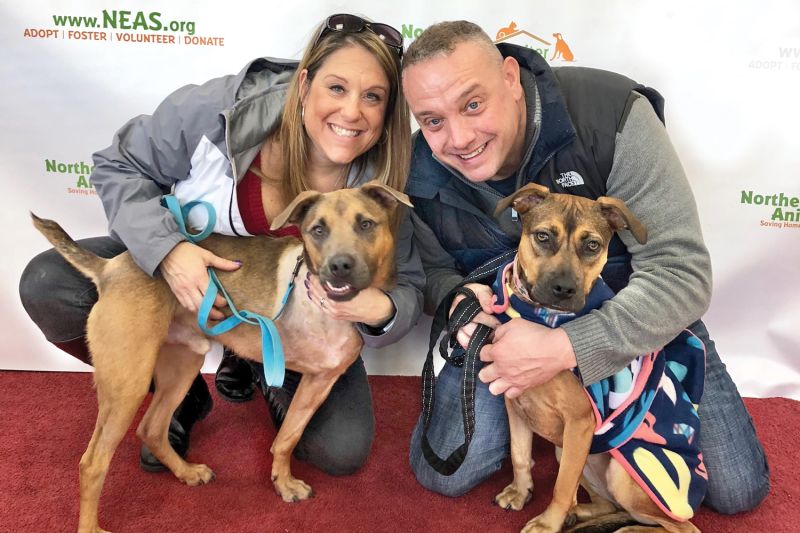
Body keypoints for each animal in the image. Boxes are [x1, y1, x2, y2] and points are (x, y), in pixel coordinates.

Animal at [29, 181, 412, 528]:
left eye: (366, 224)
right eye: (318, 230)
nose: (339, 265)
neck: (323, 306)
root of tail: (111, 267)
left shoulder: (319, 383)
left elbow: (287, 438)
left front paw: (283, 483)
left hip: (182, 365)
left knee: (151, 428)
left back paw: (186, 472)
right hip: (127, 383)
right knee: (93, 463)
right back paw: (92, 524)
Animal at [488, 184, 700, 532]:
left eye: (592, 245)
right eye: (543, 236)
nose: (564, 289)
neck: (542, 319)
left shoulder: (579, 423)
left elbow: (561, 486)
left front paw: (547, 524)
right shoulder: (514, 403)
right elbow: (519, 455)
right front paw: (520, 492)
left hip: (621, 472)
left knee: (681, 526)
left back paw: (624, 529)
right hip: (572, 453)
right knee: (604, 504)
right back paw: (579, 515)